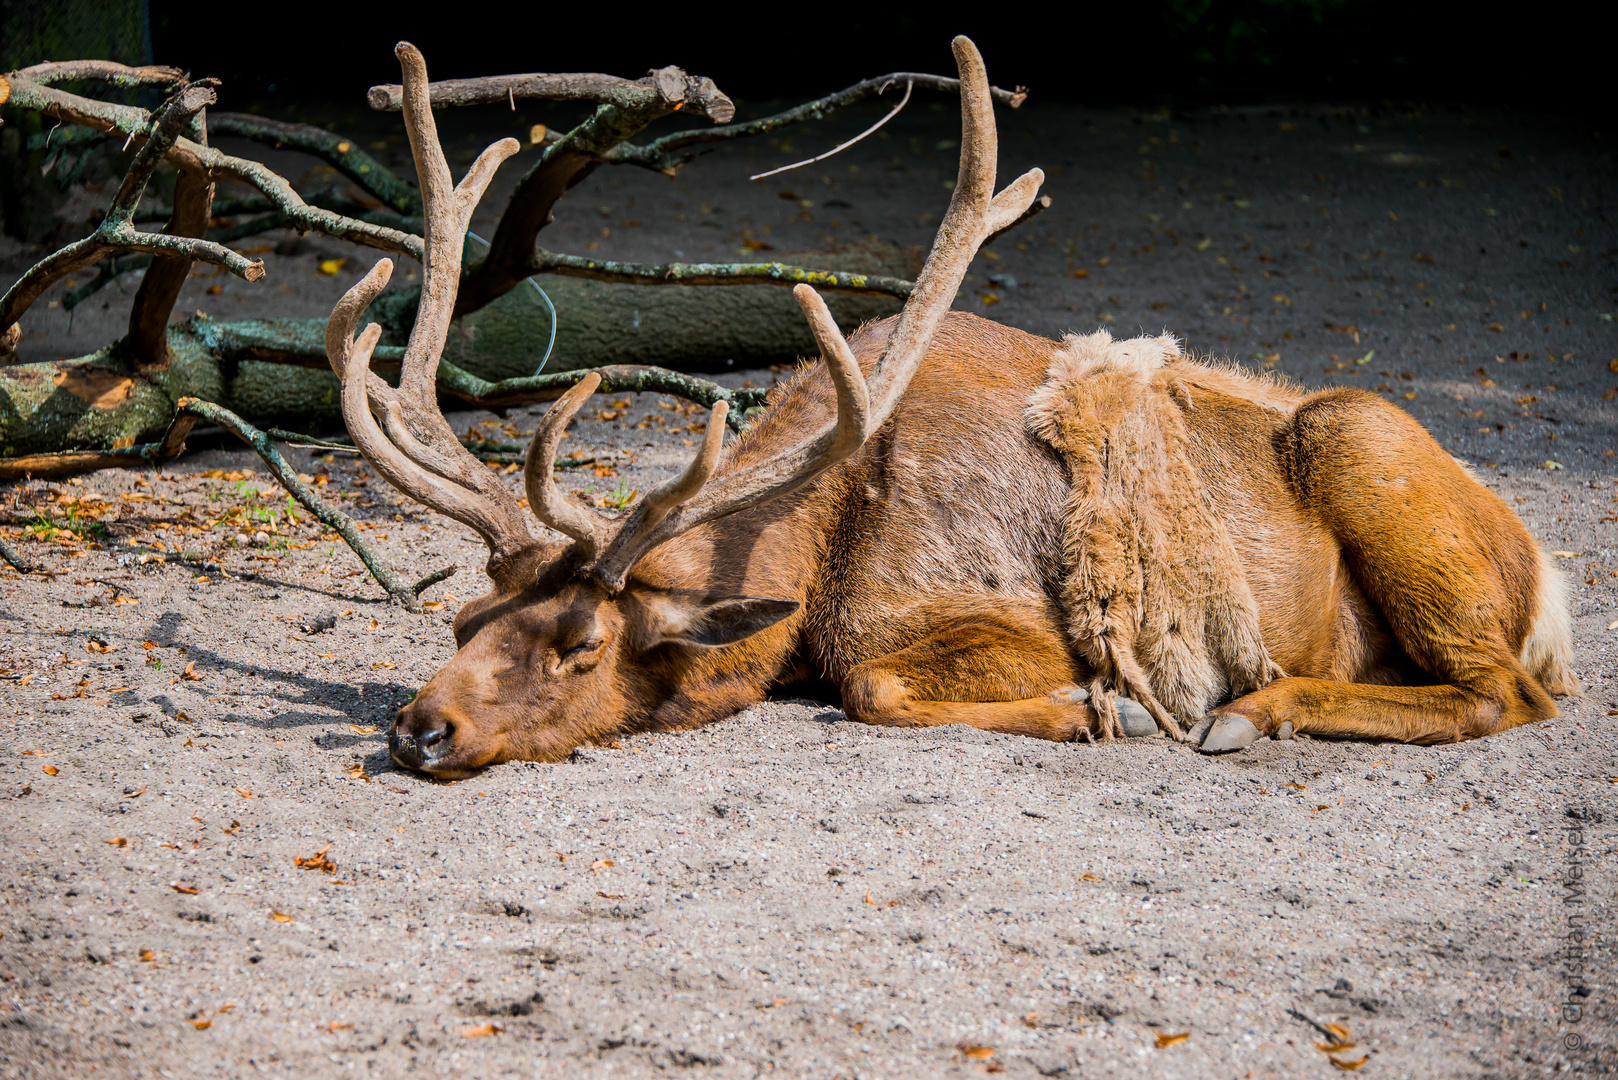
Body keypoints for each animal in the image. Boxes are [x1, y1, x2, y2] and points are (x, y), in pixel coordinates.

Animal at [328, 35, 1579, 777]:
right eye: (461, 621)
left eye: (580, 643)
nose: (418, 725)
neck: (816, 543)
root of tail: (1547, 586)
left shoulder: (993, 613)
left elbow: (871, 683)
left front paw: (1103, 710)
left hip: (1364, 446)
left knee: (1502, 692)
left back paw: (1250, 711)